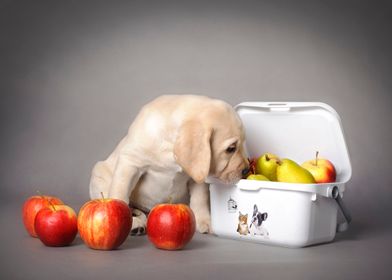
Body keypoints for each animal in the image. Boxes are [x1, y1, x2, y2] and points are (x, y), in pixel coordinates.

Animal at [89, 95, 248, 235]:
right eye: (231, 149)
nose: (246, 170)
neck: (170, 148)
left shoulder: (199, 173)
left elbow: (200, 199)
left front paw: (205, 221)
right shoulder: (130, 164)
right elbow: (120, 194)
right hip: (99, 175)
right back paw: (136, 224)